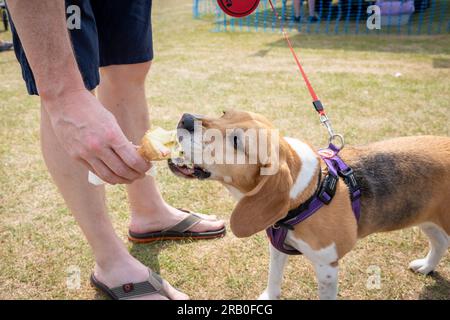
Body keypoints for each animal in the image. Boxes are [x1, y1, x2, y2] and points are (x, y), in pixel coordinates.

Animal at [169, 110, 450, 300]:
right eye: (224, 113)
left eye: (237, 141)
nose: (185, 118)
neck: (309, 191)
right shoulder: (277, 246)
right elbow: (274, 279)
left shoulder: (327, 267)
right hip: (425, 218)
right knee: (439, 242)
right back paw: (427, 267)